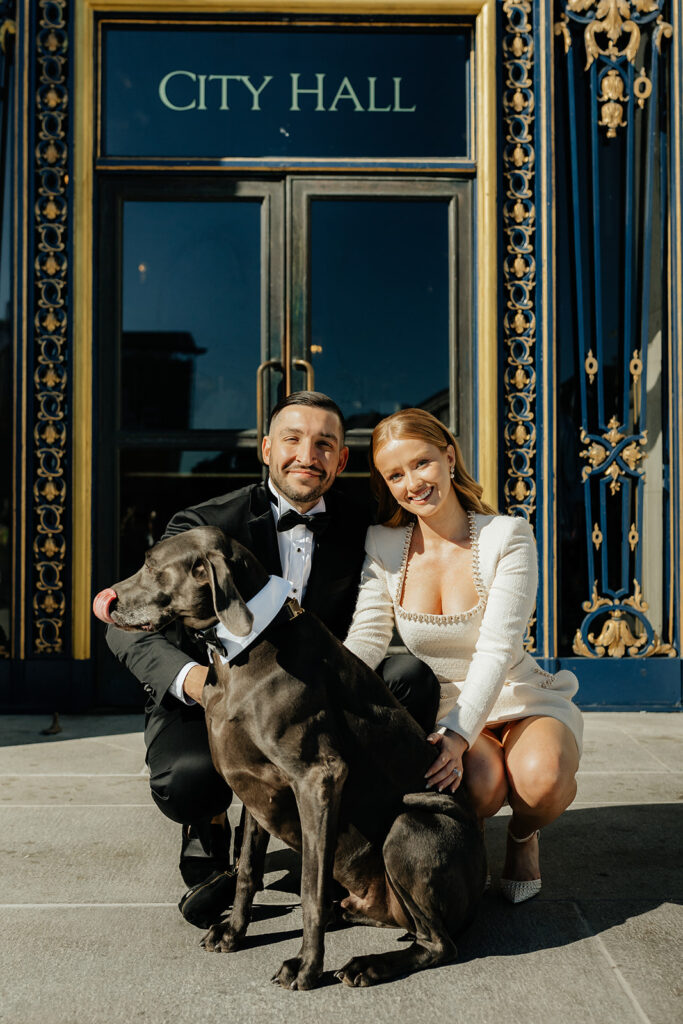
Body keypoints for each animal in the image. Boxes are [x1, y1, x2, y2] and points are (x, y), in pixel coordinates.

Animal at [96, 528, 489, 983]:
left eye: (151, 565)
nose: (107, 601)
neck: (241, 650)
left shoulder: (318, 778)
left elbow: (310, 888)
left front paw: (307, 965)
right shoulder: (255, 787)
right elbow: (248, 871)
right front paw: (233, 933)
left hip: (409, 825)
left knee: (438, 943)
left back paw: (369, 965)